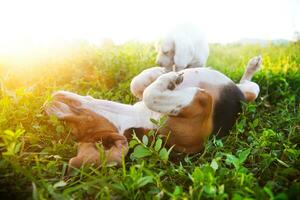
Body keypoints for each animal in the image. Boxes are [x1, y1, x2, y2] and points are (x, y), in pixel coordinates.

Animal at [44, 55, 262, 169]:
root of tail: (242, 97)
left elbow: (138, 85)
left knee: (246, 83)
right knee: (251, 86)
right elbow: (151, 94)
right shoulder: (202, 102)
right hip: (250, 92)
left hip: (244, 91)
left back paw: (253, 64)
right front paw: (169, 78)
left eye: (71, 122)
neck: (137, 118)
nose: (47, 105)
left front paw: (159, 74)